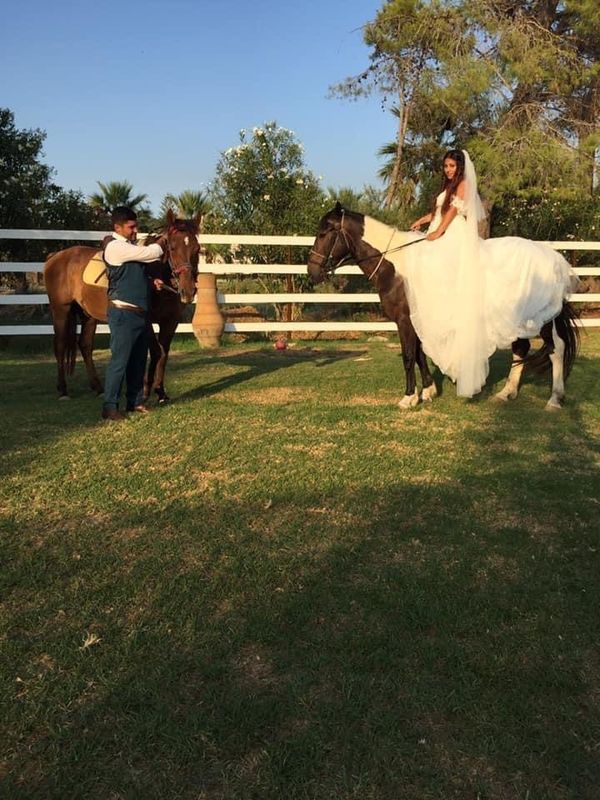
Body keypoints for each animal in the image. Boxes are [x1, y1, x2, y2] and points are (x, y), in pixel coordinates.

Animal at [44, 209, 200, 403]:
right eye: (171, 247)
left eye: (197, 249)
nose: (188, 291)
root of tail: (54, 257)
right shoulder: (145, 320)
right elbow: (156, 351)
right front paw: (146, 391)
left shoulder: (171, 322)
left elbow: (164, 353)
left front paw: (161, 392)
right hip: (60, 310)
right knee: (59, 345)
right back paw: (63, 390)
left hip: (88, 315)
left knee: (85, 346)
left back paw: (98, 388)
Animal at [306, 203, 580, 410]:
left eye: (324, 233)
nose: (313, 272)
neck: (397, 267)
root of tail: (554, 258)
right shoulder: (417, 321)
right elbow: (419, 354)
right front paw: (428, 391)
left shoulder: (404, 321)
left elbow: (409, 356)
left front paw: (408, 397)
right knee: (521, 349)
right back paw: (506, 393)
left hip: (542, 320)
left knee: (556, 350)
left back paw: (554, 399)